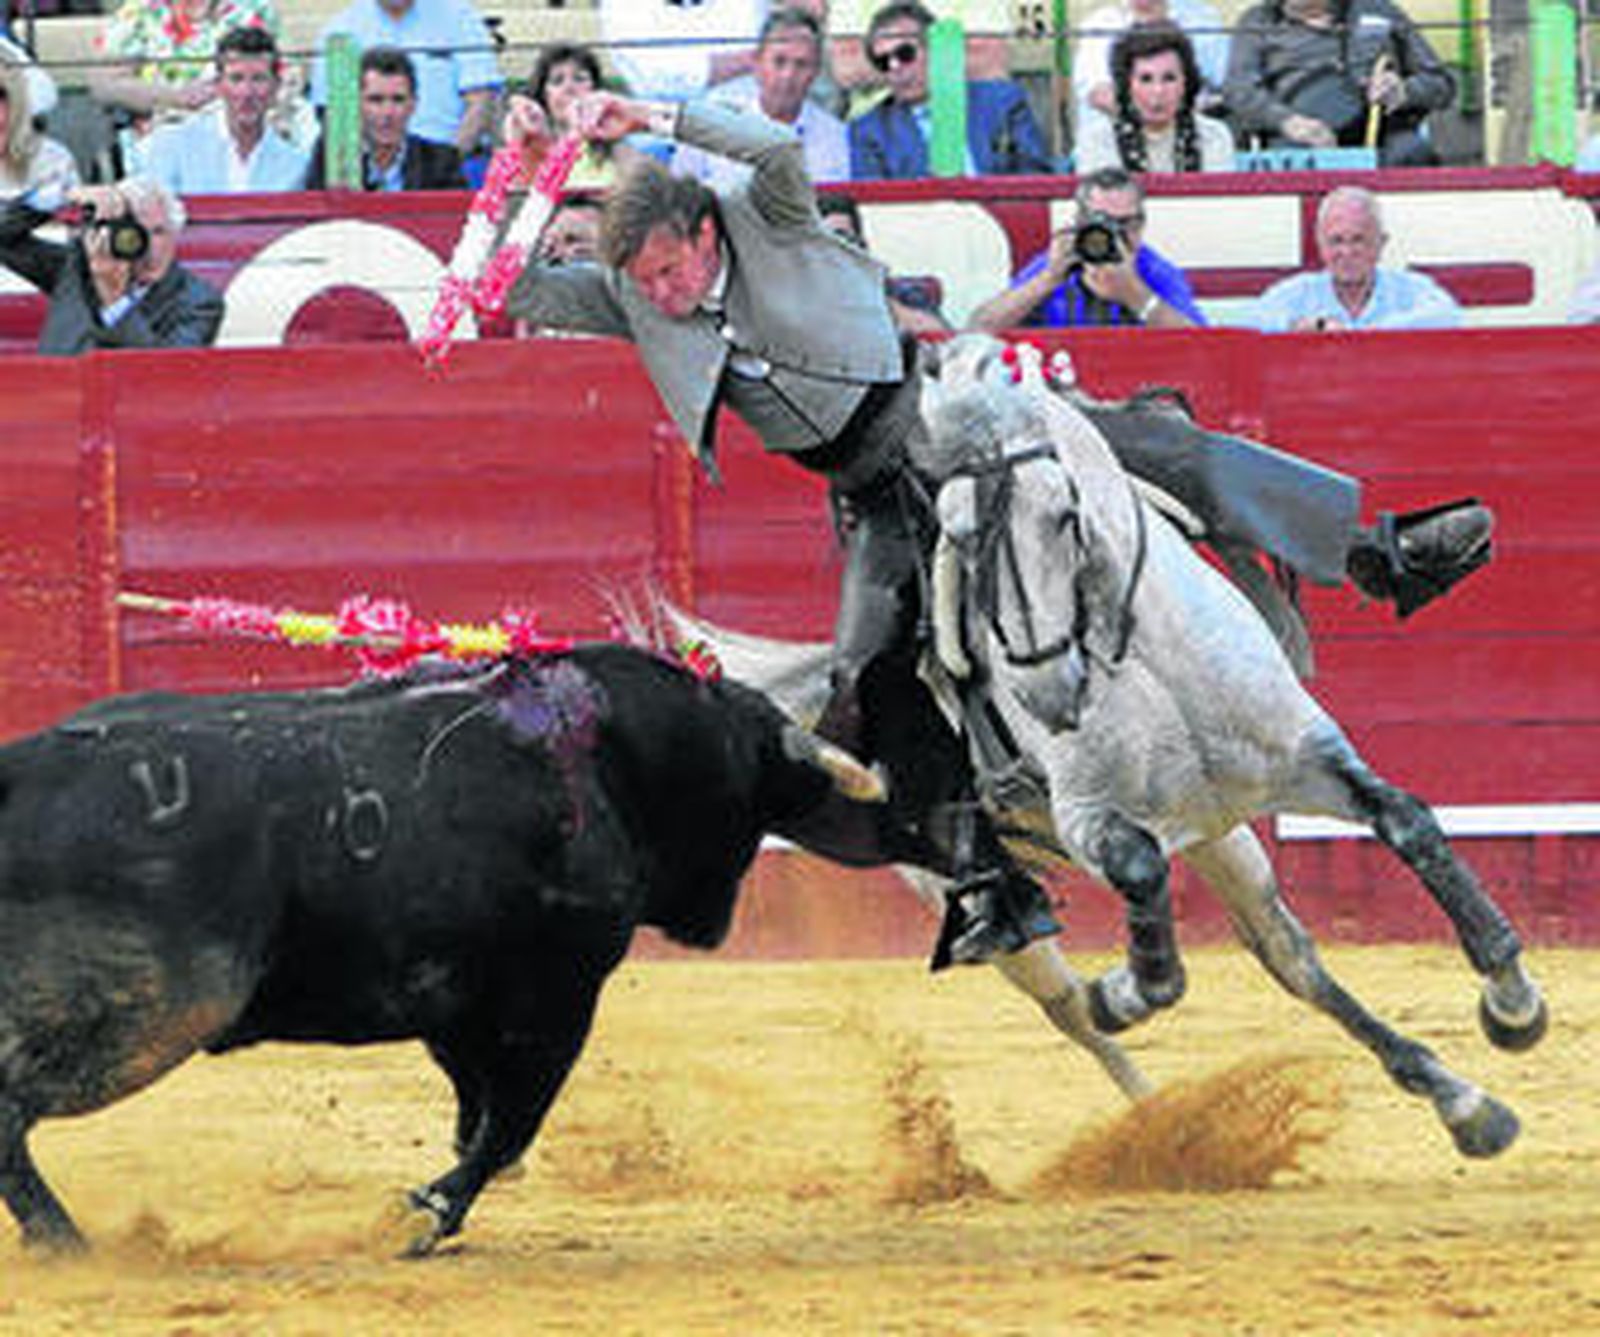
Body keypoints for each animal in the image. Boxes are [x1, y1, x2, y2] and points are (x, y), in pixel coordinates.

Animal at [651, 334, 1548, 1158]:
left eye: (1063, 513)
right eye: (953, 536)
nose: (1051, 691)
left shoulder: (1304, 757)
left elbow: (1409, 820)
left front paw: (1512, 1003)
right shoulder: (1091, 819)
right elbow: (1143, 905)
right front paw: (1126, 988)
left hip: (1223, 832)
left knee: (1289, 955)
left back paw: (1464, 1103)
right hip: (963, 889)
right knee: (1066, 1005)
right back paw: (1162, 1119)